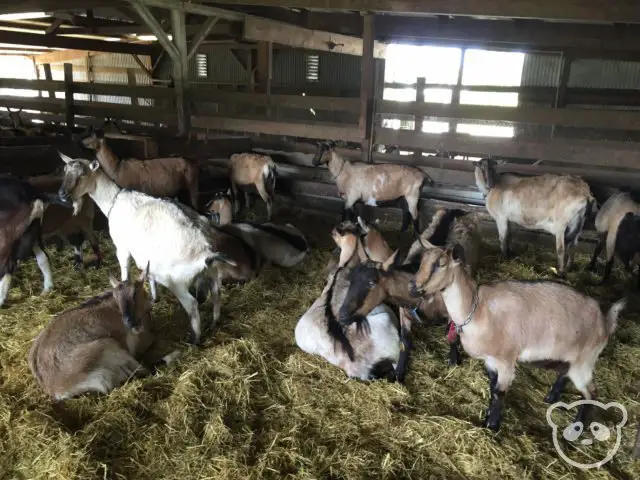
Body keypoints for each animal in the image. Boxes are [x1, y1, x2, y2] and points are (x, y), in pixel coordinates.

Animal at [26, 264, 178, 400]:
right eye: (116, 297)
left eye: (135, 293)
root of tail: (56, 389)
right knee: (144, 369)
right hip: (108, 346)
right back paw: (173, 355)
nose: (128, 322)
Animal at [58, 154, 235, 344]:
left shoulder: (122, 247)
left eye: (82, 175)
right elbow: (149, 275)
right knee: (216, 293)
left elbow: (125, 271)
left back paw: (194, 339)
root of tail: (205, 252)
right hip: (212, 272)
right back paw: (215, 322)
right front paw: (154, 297)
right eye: (65, 170)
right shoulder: (147, 256)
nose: (62, 194)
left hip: (176, 281)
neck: (113, 200)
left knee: (192, 304)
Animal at [410, 244, 624, 432]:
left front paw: (492, 426)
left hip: (585, 362)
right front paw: (488, 418)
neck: (476, 309)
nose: (413, 288)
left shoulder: (506, 360)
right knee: (565, 374)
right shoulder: (490, 361)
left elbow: (499, 392)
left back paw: (575, 429)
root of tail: (605, 321)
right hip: (570, 357)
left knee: (592, 393)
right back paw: (551, 398)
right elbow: (492, 387)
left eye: (440, 264)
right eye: (421, 261)